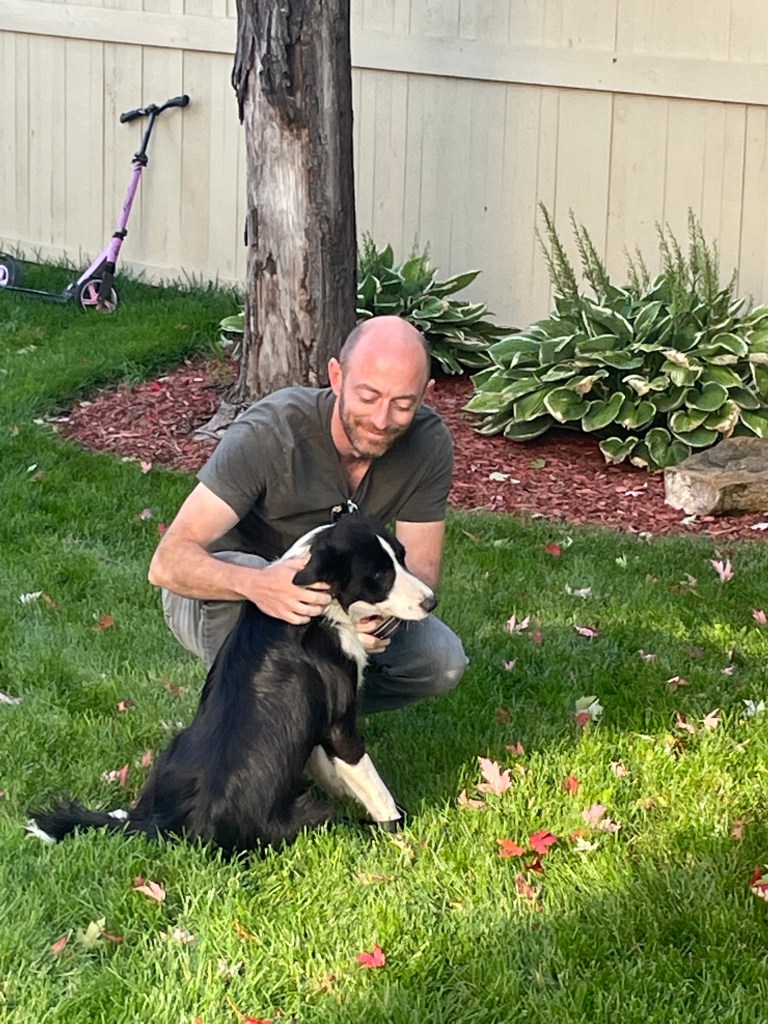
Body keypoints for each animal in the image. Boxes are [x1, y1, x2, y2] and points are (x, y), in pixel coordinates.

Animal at [27, 514, 436, 854]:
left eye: (402, 558)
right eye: (379, 576)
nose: (431, 602)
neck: (322, 606)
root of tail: (170, 825)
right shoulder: (339, 724)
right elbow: (372, 785)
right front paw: (398, 827)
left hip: (175, 745)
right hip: (312, 814)